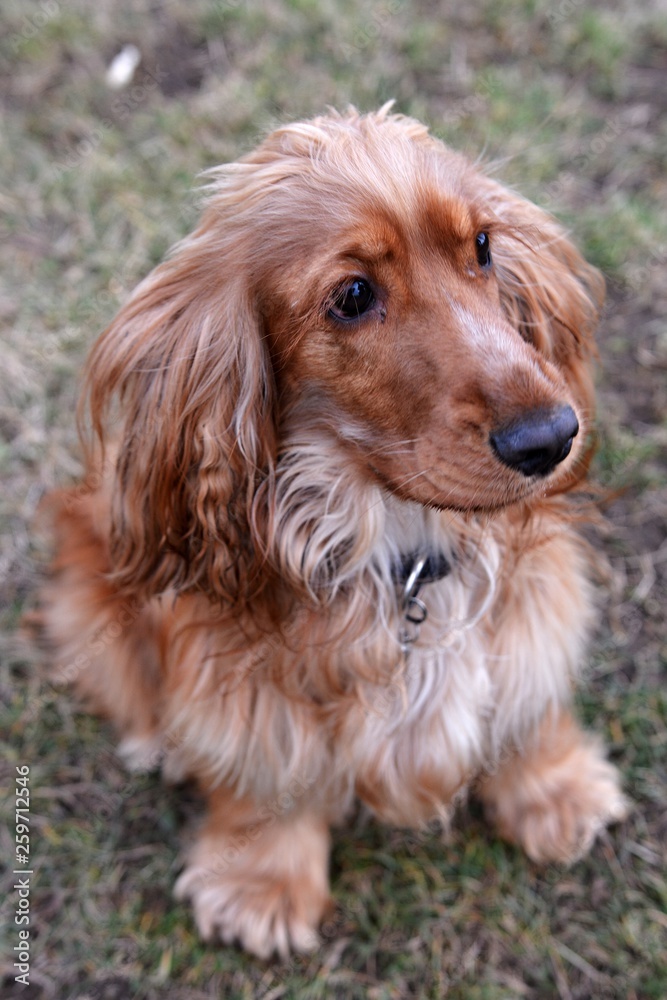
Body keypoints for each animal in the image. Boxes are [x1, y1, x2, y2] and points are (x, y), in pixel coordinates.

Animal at [41, 105, 628, 956]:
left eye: (483, 246)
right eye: (352, 295)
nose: (550, 438)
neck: (402, 545)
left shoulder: (532, 607)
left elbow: (528, 700)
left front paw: (555, 791)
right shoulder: (243, 685)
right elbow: (265, 775)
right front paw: (261, 884)